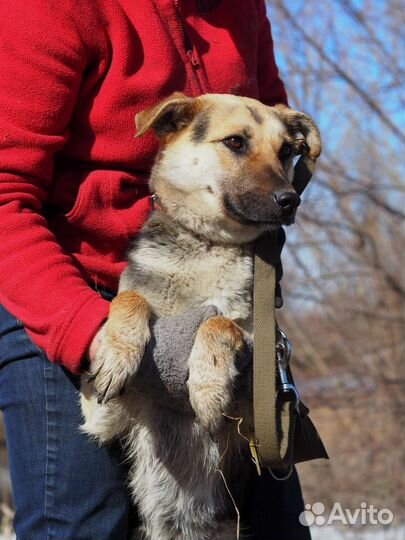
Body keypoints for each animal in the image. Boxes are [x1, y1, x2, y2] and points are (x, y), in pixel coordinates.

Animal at [80, 94, 320, 540]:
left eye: (285, 151)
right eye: (235, 142)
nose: (290, 200)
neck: (206, 245)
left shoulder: (256, 411)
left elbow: (219, 321)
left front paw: (207, 386)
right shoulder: (101, 414)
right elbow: (130, 299)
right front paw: (117, 353)